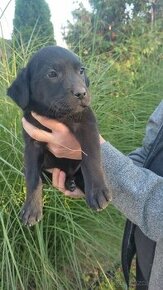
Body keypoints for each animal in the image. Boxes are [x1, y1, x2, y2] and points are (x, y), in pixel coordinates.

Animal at [7, 46, 110, 227]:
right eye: (52, 74)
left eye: (81, 70)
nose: (82, 93)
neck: (57, 115)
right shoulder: (31, 144)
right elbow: (32, 178)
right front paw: (31, 208)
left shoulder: (87, 123)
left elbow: (91, 158)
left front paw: (97, 191)